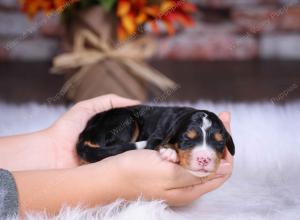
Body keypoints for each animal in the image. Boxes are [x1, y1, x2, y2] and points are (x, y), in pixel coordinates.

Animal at [76, 105, 236, 178]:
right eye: (186, 139)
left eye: (219, 143)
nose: (204, 159)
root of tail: (85, 134)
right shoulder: (155, 136)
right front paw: (170, 152)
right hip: (126, 119)